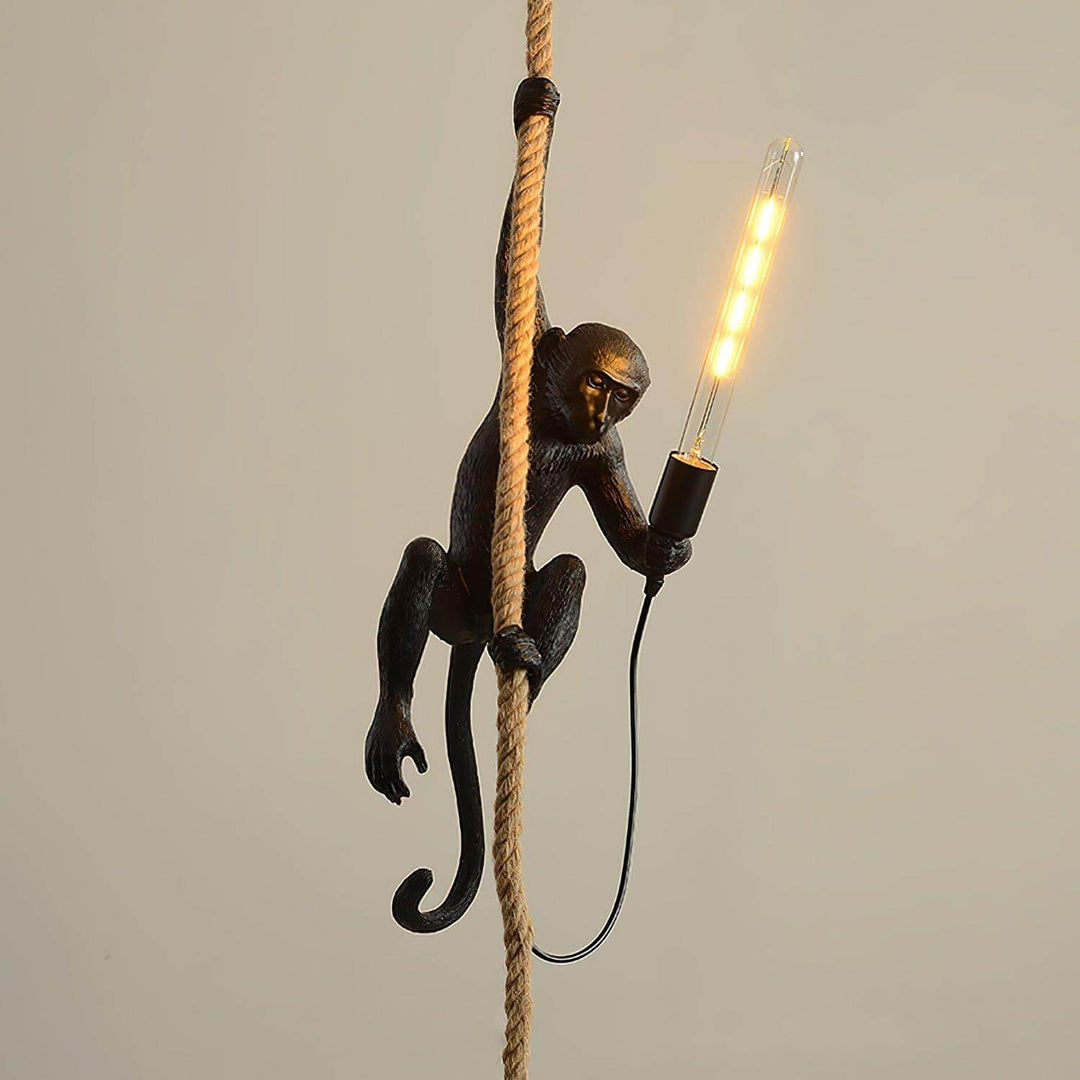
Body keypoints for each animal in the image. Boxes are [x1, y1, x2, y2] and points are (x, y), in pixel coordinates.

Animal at [365, 77, 692, 933]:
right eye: (597, 380)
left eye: (625, 396)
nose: (606, 407)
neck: (555, 422)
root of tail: (482, 629)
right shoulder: (532, 350)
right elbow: (516, 254)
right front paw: (534, 109)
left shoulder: (605, 453)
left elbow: (623, 545)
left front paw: (668, 550)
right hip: (455, 608)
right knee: (424, 560)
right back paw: (394, 719)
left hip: (501, 610)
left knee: (570, 569)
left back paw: (529, 669)